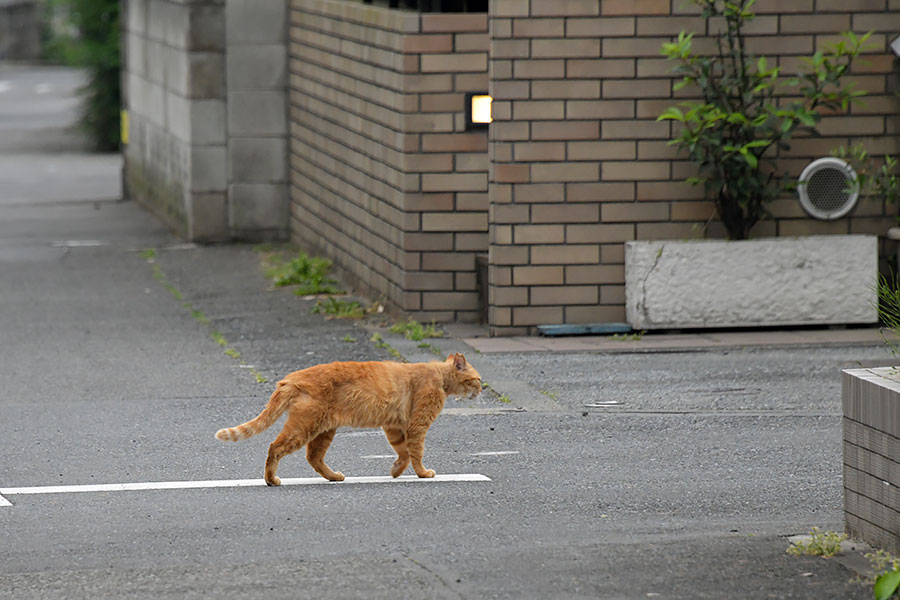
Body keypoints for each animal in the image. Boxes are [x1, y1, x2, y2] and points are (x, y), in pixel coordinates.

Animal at [215, 354, 482, 486]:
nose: (482, 389)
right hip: (304, 428)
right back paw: (271, 480)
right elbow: (416, 453)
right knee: (275, 448)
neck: (439, 376)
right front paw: (423, 473)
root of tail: (290, 378)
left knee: (313, 457)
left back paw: (334, 477)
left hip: (324, 430)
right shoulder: (417, 425)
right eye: (478, 379)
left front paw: (396, 470)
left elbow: (403, 452)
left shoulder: (394, 427)